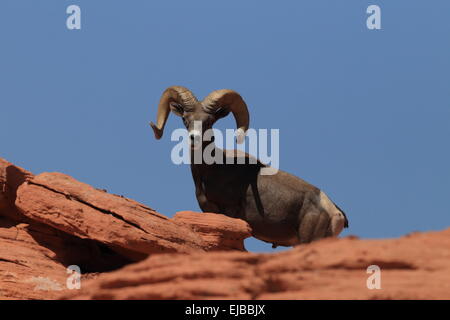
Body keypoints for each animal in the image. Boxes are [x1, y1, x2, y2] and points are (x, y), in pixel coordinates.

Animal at [151, 85, 348, 248]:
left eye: (209, 121)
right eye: (185, 119)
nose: (194, 138)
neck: (214, 170)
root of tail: (335, 212)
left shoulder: (229, 212)